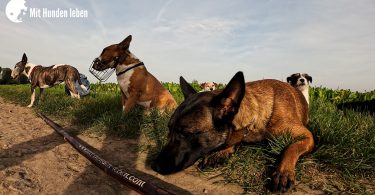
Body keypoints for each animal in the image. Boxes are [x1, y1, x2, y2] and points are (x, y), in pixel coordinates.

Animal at [151, 71, 316, 192]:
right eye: (169, 129)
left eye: (185, 133)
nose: (154, 167)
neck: (256, 118)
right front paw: (221, 153)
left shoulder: (307, 137)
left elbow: (290, 148)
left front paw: (283, 172)